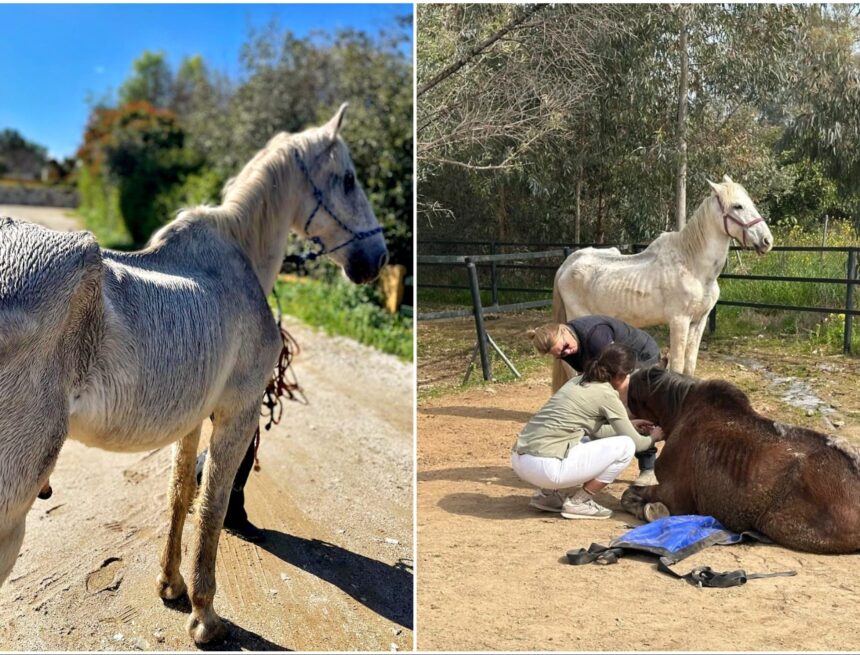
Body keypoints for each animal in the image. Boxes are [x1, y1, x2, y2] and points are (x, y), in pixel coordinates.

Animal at [0, 104, 388, 644]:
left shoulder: (190, 419)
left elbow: (179, 494)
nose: (377, 258)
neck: (238, 256)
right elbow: (212, 506)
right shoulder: (238, 414)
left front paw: (170, 584)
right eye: (349, 179)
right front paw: (204, 615)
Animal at [551, 176, 773, 391]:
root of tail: (567, 264)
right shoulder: (679, 321)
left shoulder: (698, 322)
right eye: (738, 206)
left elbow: (689, 365)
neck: (693, 266)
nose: (767, 241)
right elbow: (677, 365)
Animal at [621, 366, 860, 554]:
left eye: (629, 393)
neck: (682, 411)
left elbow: (629, 495)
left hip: (778, 523)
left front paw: (651, 510)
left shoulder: (674, 495)